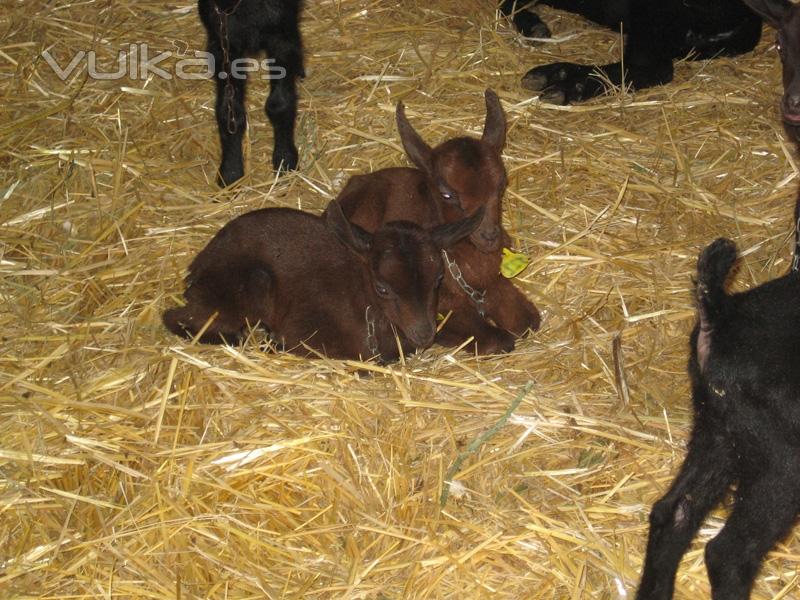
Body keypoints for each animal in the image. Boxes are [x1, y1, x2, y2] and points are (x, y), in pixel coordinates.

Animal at [198, 0, 304, 185]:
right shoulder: (223, 40)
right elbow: (229, 111)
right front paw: (230, 172)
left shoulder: (282, 33)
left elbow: (280, 104)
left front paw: (285, 160)